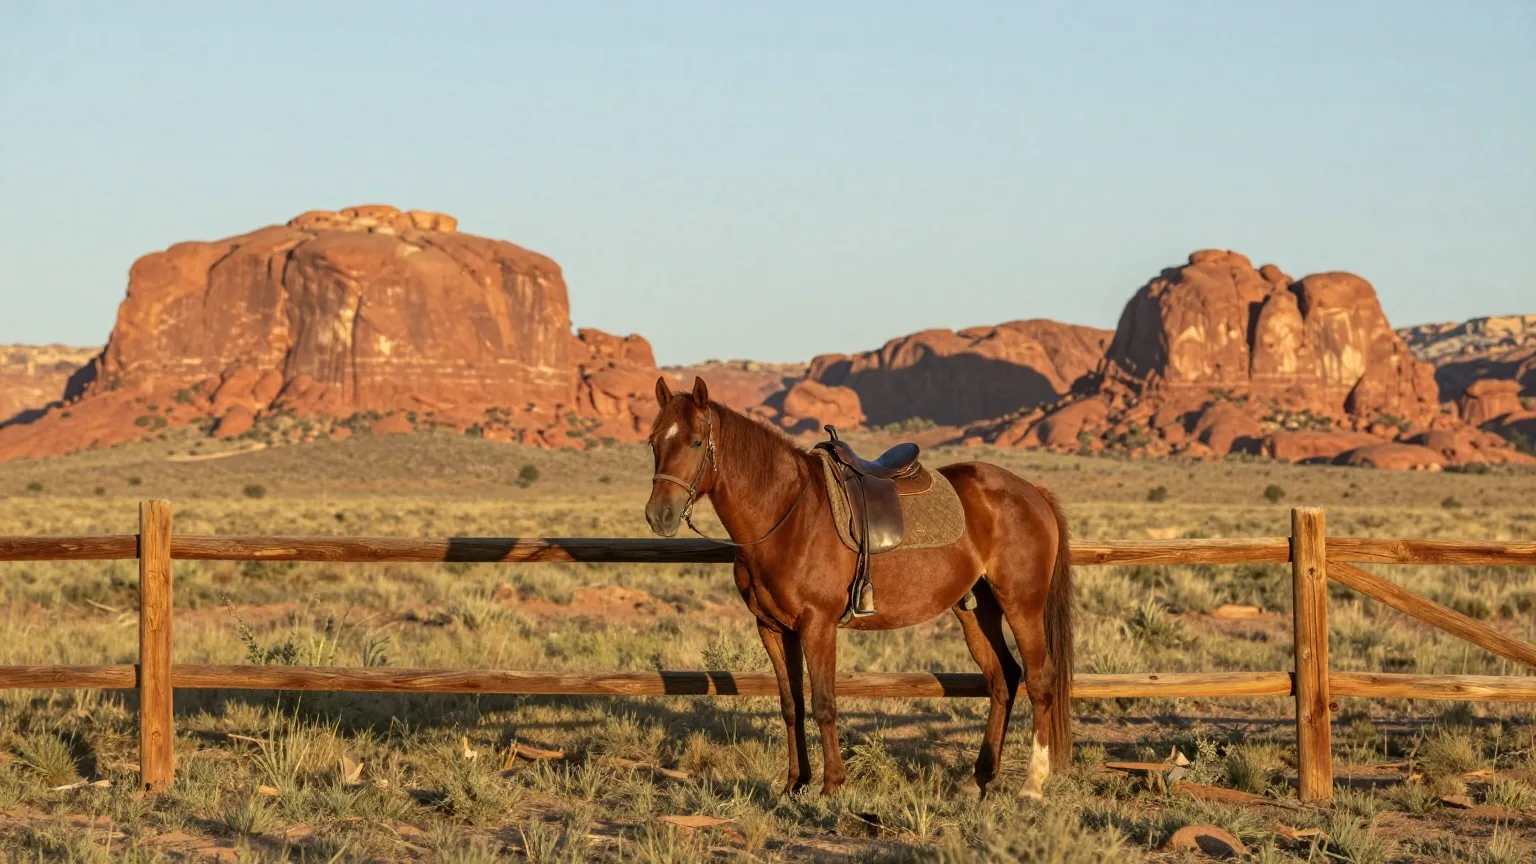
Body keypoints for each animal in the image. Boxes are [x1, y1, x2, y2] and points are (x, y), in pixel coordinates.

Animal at [644, 376, 1075, 799]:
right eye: (653, 441)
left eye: (696, 442)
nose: (659, 515)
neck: (788, 514)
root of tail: (1032, 491)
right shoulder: (772, 628)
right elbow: (791, 704)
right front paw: (794, 784)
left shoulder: (817, 625)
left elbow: (823, 703)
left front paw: (832, 785)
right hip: (976, 610)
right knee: (1003, 678)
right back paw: (979, 779)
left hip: (1022, 606)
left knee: (1040, 680)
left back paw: (1032, 785)